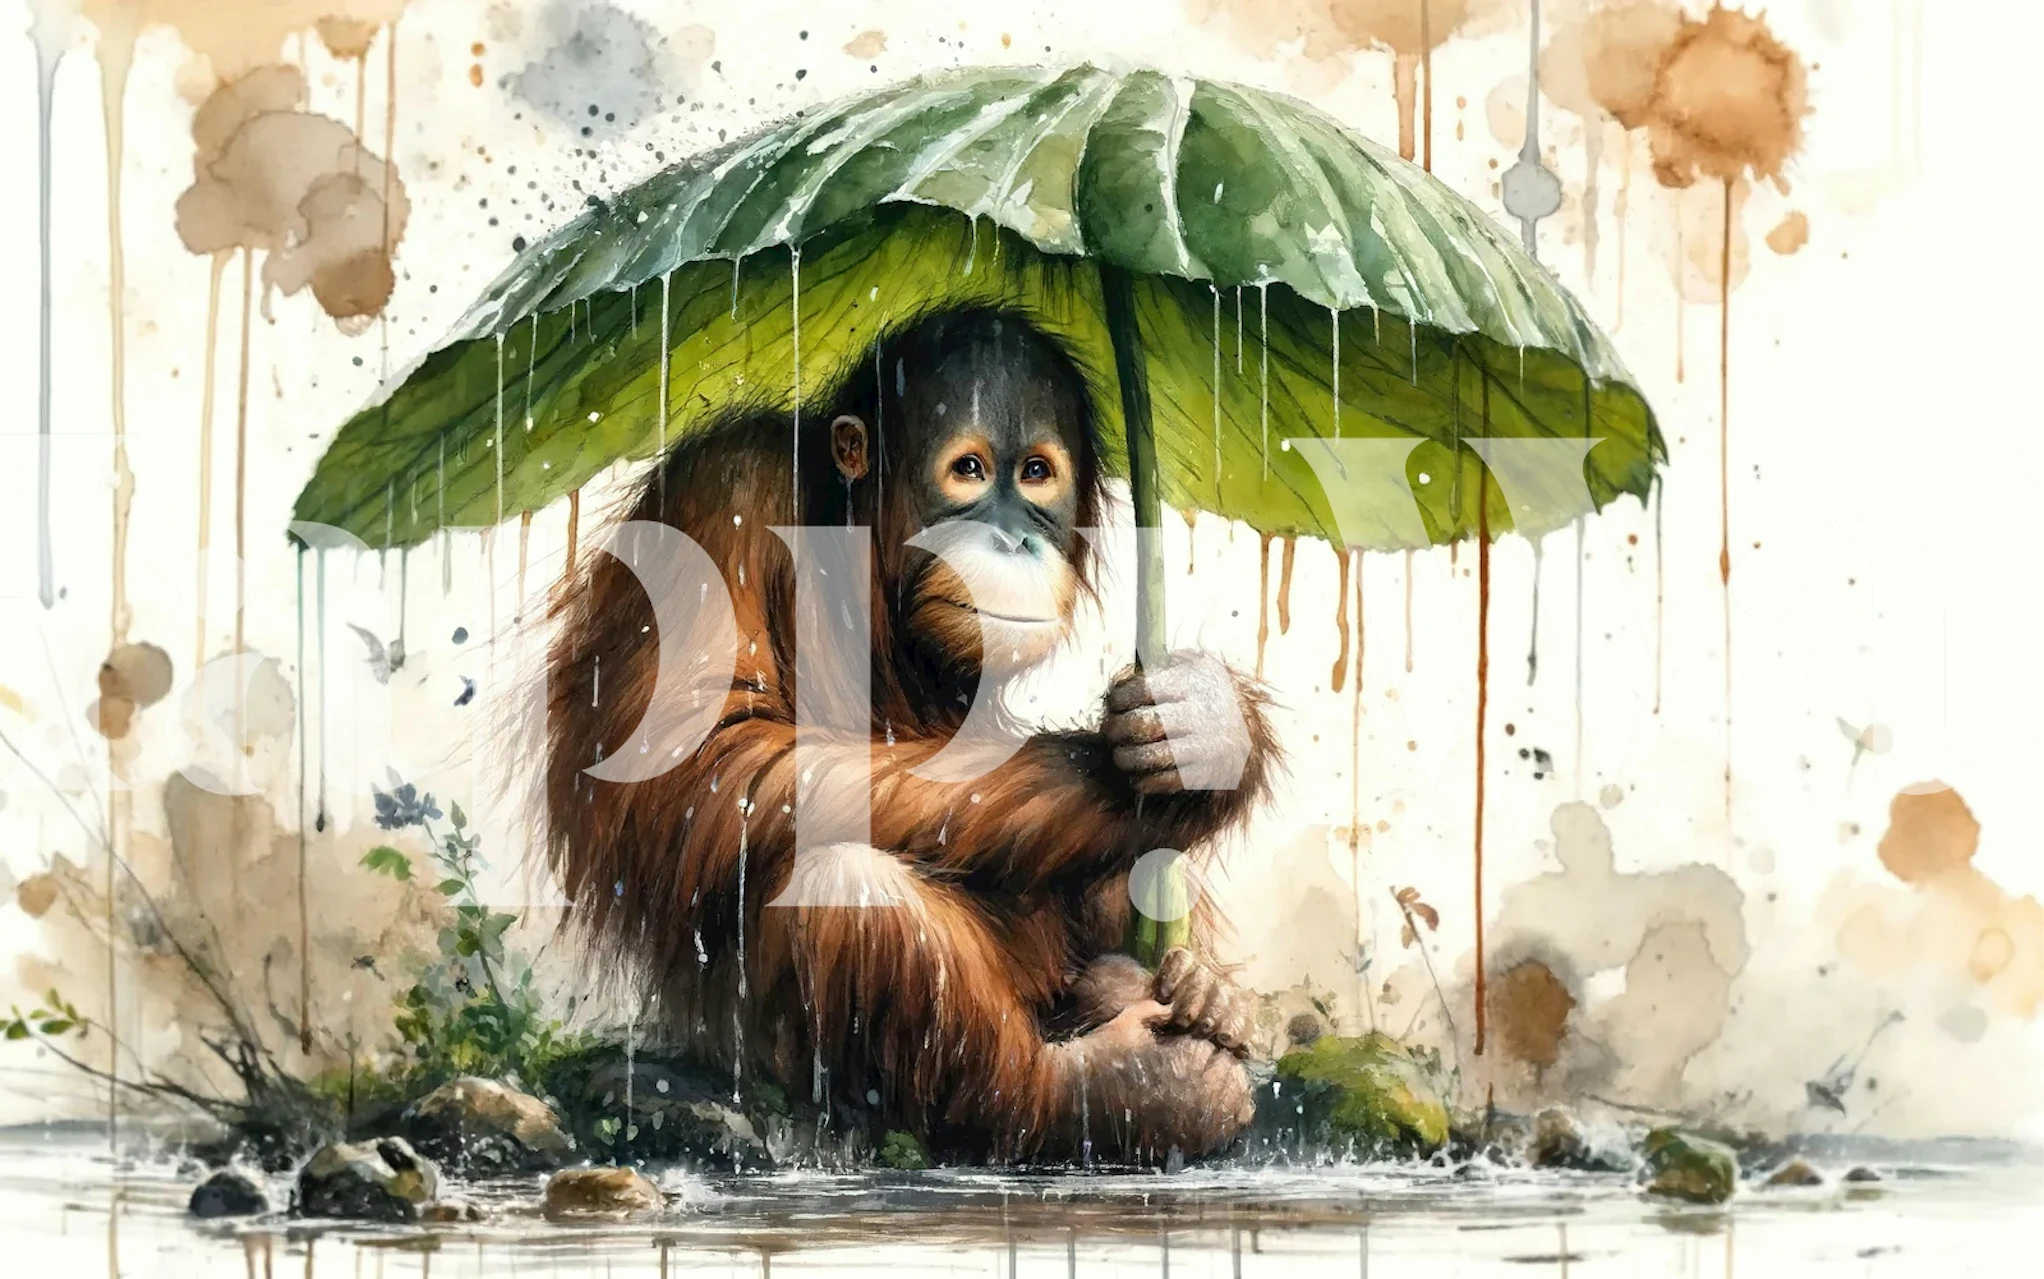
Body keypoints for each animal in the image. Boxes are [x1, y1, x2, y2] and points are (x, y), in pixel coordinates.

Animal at [544, 307, 1280, 1163]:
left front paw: (1211, 729)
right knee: (849, 893)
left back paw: (1193, 993)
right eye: (968, 470)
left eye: (1036, 473)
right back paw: (1115, 1085)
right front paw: (1142, 760)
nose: (1013, 538)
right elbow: (710, 757)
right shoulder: (719, 492)